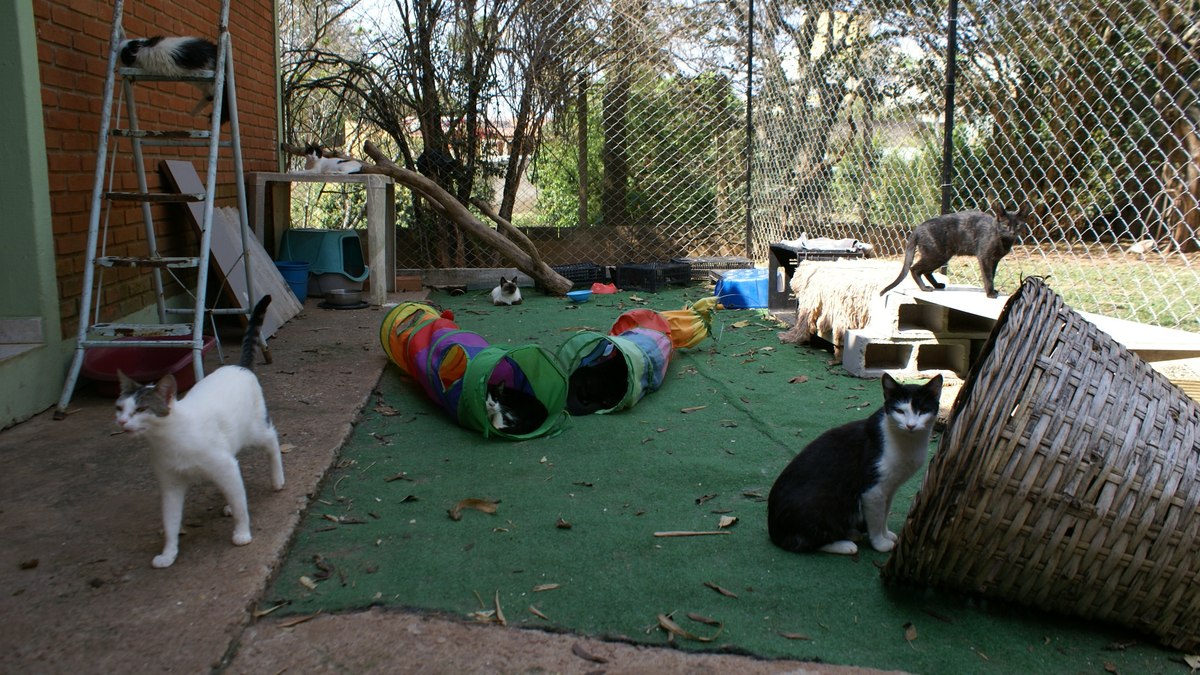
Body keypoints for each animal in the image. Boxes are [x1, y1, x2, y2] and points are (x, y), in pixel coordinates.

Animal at [115, 296, 286, 564]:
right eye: (120, 408)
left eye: (141, 409)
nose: (122, 422)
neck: (169, 439)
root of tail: (240, 367)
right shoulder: (171, 485)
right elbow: (171, 522)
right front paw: (168, 554)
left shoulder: (223, 465)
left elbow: (242, 509)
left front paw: (242, 534)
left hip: (255, 431)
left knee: (271, 440)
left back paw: (278, 479)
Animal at [763, 372, 940, 552]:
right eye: (899, 411)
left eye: (923, 410)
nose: (910, 425)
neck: (908, 442)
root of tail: (773, 529)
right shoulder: (872, 490)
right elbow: (876, 520)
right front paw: (880, 543)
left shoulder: (890, 487)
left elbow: (884, 513)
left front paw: (886, 534)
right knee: (804, 542)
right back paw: (844, 544)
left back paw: (851, 534)